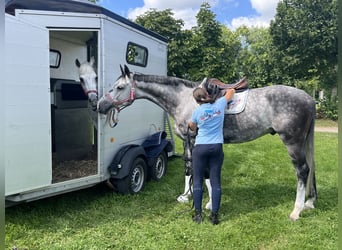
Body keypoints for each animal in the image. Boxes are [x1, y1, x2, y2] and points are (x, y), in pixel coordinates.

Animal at [97, 65, 316, 221]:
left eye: (120, 87)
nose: (100, 105)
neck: (183, 99)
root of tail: (310, 99)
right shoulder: (187, 141)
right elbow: (188, 168)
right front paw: (186, 196)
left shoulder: (195, 140)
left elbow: (202, 171)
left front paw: (208, 203)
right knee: (311, 168)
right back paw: (310, 202)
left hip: (292, 143)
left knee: (302, 171)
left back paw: (296, 211)